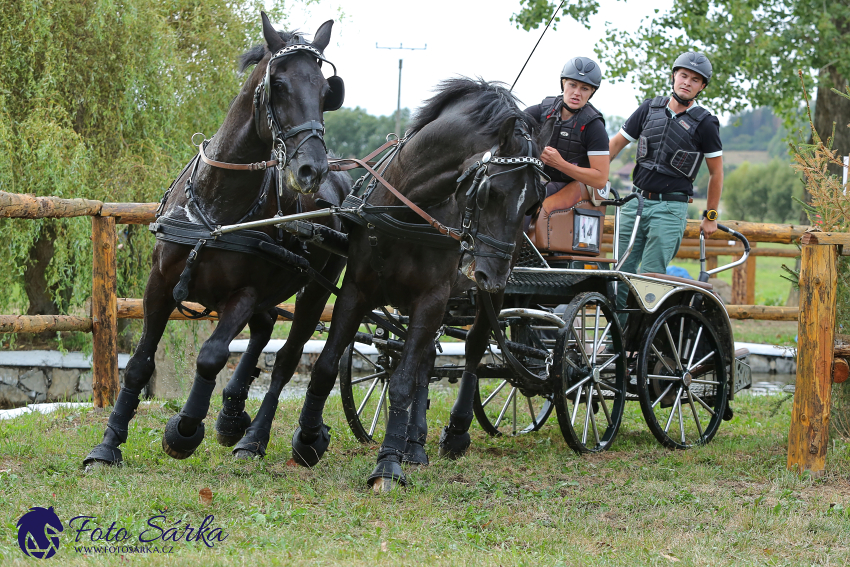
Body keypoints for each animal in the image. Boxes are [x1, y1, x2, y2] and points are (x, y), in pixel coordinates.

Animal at [84, 13, 350, 468]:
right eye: (279, 84)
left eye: (324, 91)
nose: (311, 169)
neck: (216, 206)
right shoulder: (158, 284)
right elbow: (139, 363)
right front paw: (109, 443)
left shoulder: (243, 293)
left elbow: (211, 355)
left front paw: (185, 429)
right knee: (265, 328)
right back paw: (232, 413)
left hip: (317, 287)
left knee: (288, 360)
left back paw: (271, 436)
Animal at [288, 77, 544, 490]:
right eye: (489, 192)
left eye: (534, 203)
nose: (490, 274)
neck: (405, 208)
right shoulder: (357, 291)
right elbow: (327, 364)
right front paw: (309, 439)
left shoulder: (432, 298)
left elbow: (403, 381)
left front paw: (388, 464)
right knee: (426, 361)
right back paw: (415, 443)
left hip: (479, 299)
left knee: (472, 349)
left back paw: (453, 432)